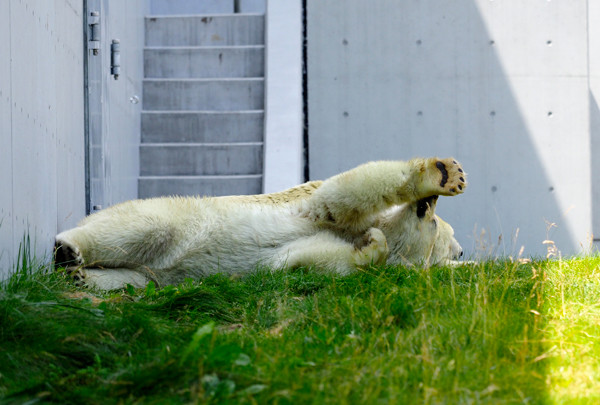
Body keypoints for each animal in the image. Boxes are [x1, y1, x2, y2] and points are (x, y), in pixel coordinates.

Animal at [55, 156, 468, 288]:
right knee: (138, 227)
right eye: (439, 225)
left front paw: (373, 245)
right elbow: (344, 193)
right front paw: (441, 176)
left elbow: (310, 259)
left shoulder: (301, 252)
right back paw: (69, 250)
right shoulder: (310, 204)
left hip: (150, 275)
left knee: (133, 278)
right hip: (183, 218)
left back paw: (83, 275)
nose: (462, 252)